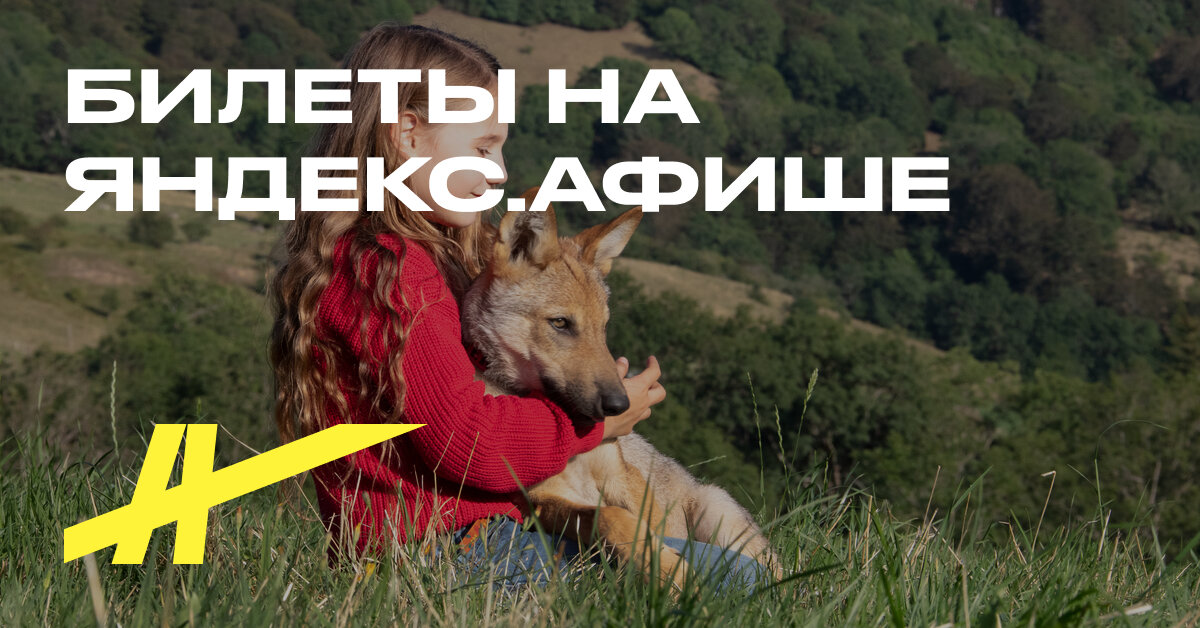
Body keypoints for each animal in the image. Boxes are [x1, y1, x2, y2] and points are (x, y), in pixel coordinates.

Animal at [461, 191, 779, 590]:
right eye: (560, 323)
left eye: (604, 327)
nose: (620, 403)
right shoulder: (543, 501)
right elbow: (613, 519)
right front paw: (664, 570)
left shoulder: (624, 479)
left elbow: (652, 525)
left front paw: (666, 569)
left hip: (718, 511)